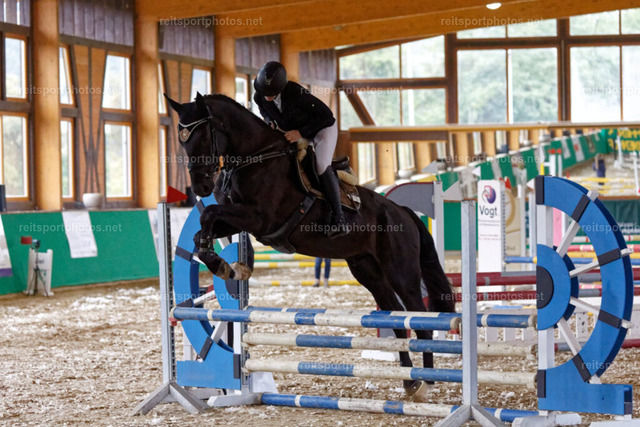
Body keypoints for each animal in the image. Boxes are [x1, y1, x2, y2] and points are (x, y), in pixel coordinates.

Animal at [164, 92, 455, 401]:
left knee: (420, 319)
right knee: (397, 318)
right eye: (182, 141)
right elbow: (203, 228)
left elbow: (208, 213)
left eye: (203, 138)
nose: (201, 188)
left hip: (400, 271)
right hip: (368, 270)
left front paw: (227, 266)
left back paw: (427, 381)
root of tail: (402, 212)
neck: (255, 157)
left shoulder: (259, 218)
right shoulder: (237, 219)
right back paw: (409, 381)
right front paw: (227, 266)